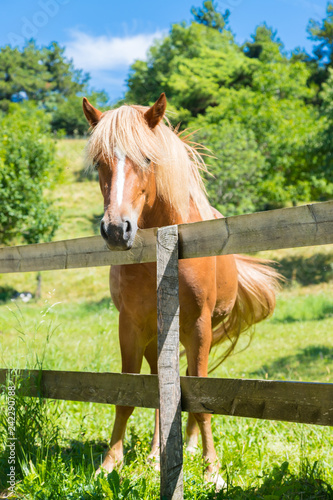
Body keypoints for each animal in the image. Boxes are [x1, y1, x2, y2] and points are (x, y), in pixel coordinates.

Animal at [81, 94, 278, 488]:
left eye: (146, 158)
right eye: (99, 163)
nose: (116, 229)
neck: (164, 251)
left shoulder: (198, 325)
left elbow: (200, 398)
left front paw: (212, 470)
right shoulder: (130, 326)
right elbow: (127, 395)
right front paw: (109, 464)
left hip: (198, 333)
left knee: (190, 382)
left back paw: (187, 448)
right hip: (156, 338)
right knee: (162, 387)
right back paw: (157, 454)